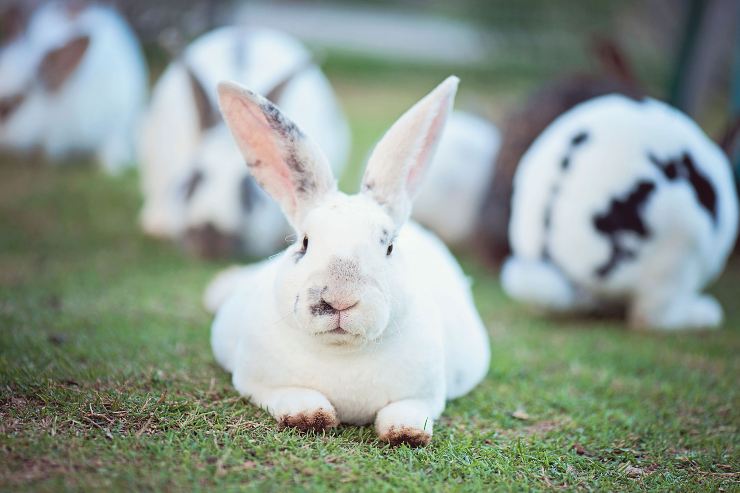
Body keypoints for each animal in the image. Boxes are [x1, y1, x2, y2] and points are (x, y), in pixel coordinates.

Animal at [211, 77, 492, 446]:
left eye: (389, 247)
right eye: (304, 243)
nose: (339, 299)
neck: (342, 351)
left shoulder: (425, 396)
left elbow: (406, 410)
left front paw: (407, 433)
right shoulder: (256, 382)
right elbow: (293, 395)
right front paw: (309, 417)